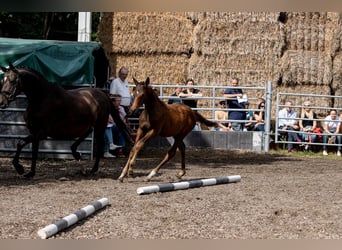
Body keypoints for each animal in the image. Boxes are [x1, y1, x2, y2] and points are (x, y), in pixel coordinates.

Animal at [0, 64, 128, 178]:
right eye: (3, 80)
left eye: (12, 80)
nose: (2, 102)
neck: (41, 98)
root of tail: (103, 94)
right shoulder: (34, 132)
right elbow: (30, 150)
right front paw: (28, 172)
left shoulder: (40, 133)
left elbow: (23, 145)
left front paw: (22, 169)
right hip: (91, 123)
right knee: (87, 132)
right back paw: (76, 153)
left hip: (100, 124)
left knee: (100, 143)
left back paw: (93, 169)